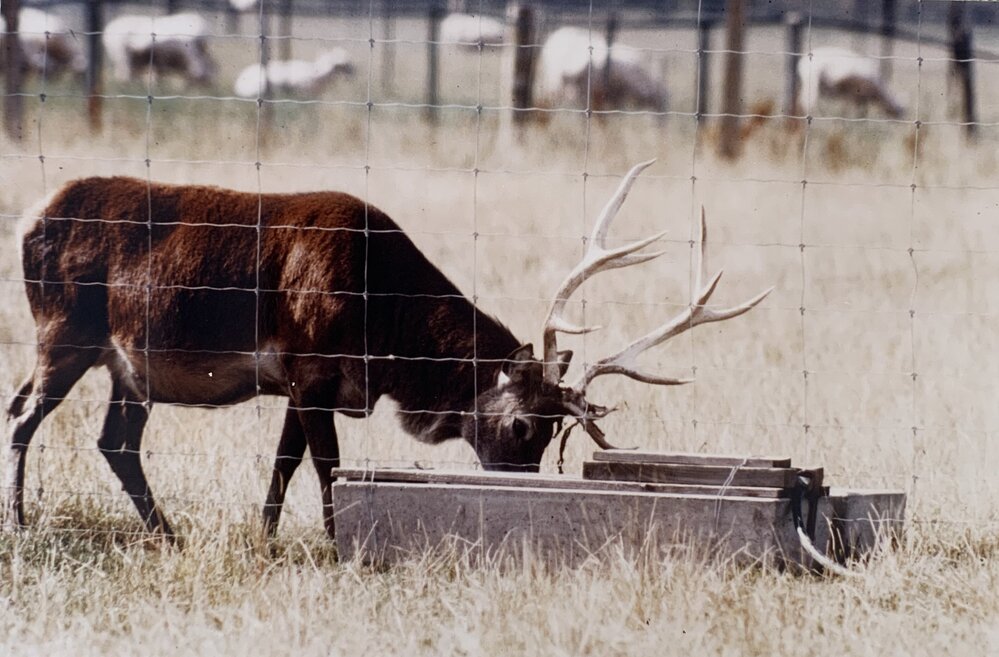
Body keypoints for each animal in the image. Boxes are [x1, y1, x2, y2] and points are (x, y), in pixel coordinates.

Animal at [3, 160, 771, 541]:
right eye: (524, 422)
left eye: (556, 428)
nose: (517, 486)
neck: (387, 333)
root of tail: (28, 219)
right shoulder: (310, 368)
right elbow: (325, 467)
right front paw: (333, 543)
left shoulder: (301, 381)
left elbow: (283, 465)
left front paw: (266, 538)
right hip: (64, 332)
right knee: (22, 415)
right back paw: (20, 523)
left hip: (127, 365)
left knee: (113, 441)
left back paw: (169, 533)